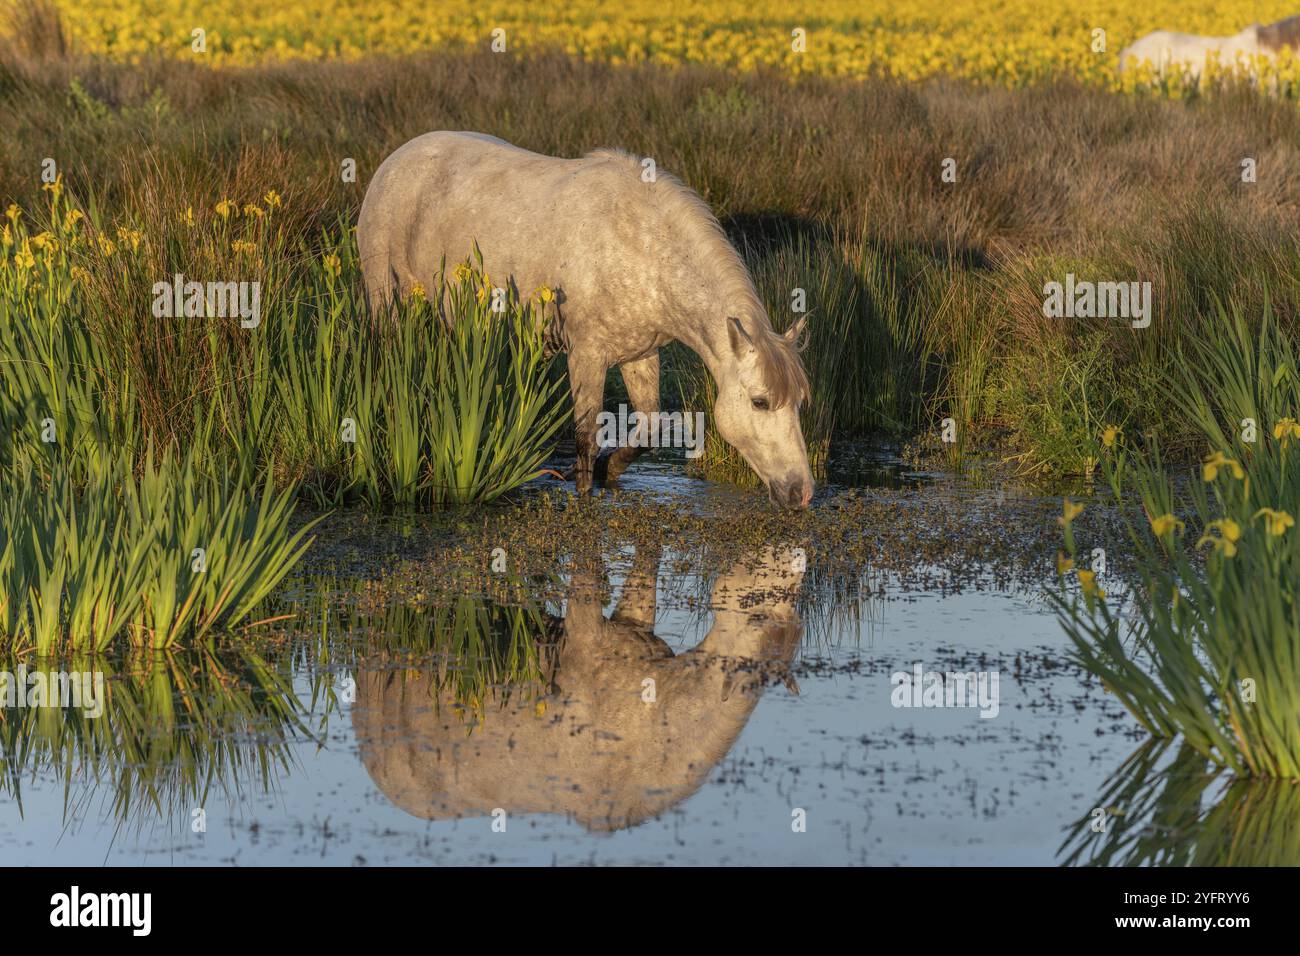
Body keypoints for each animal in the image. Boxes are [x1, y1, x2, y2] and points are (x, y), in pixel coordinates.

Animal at [357, 132, 814, 509]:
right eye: (759, 402)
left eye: (799, 403)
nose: (802, 492)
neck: (642, 247)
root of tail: (392, 162)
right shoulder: (586, 356)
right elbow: (585, 437)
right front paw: (583, 491)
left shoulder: (640, 355)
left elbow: (649, 426)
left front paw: (609, 471)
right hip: (387, 304)